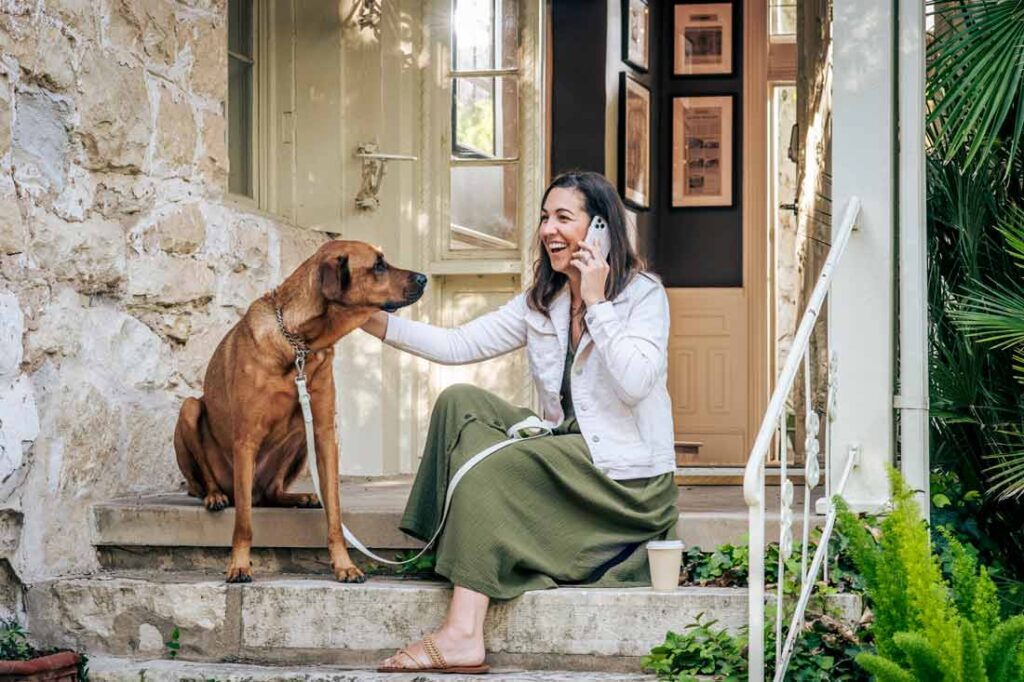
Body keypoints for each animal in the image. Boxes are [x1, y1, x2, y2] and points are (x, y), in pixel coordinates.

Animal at [172, 237, 423, 577]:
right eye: (379, 265)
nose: (424, 278)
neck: (300, 343)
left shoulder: (324, 432)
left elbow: (335, 513)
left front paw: (343, 565)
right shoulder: (245, 439)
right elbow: (243, 522)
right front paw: (239, 564)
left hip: (301, 439)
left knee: (272, 493)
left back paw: (301, 497)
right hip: (190, 412)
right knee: (213, 486)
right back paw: (215, 495)